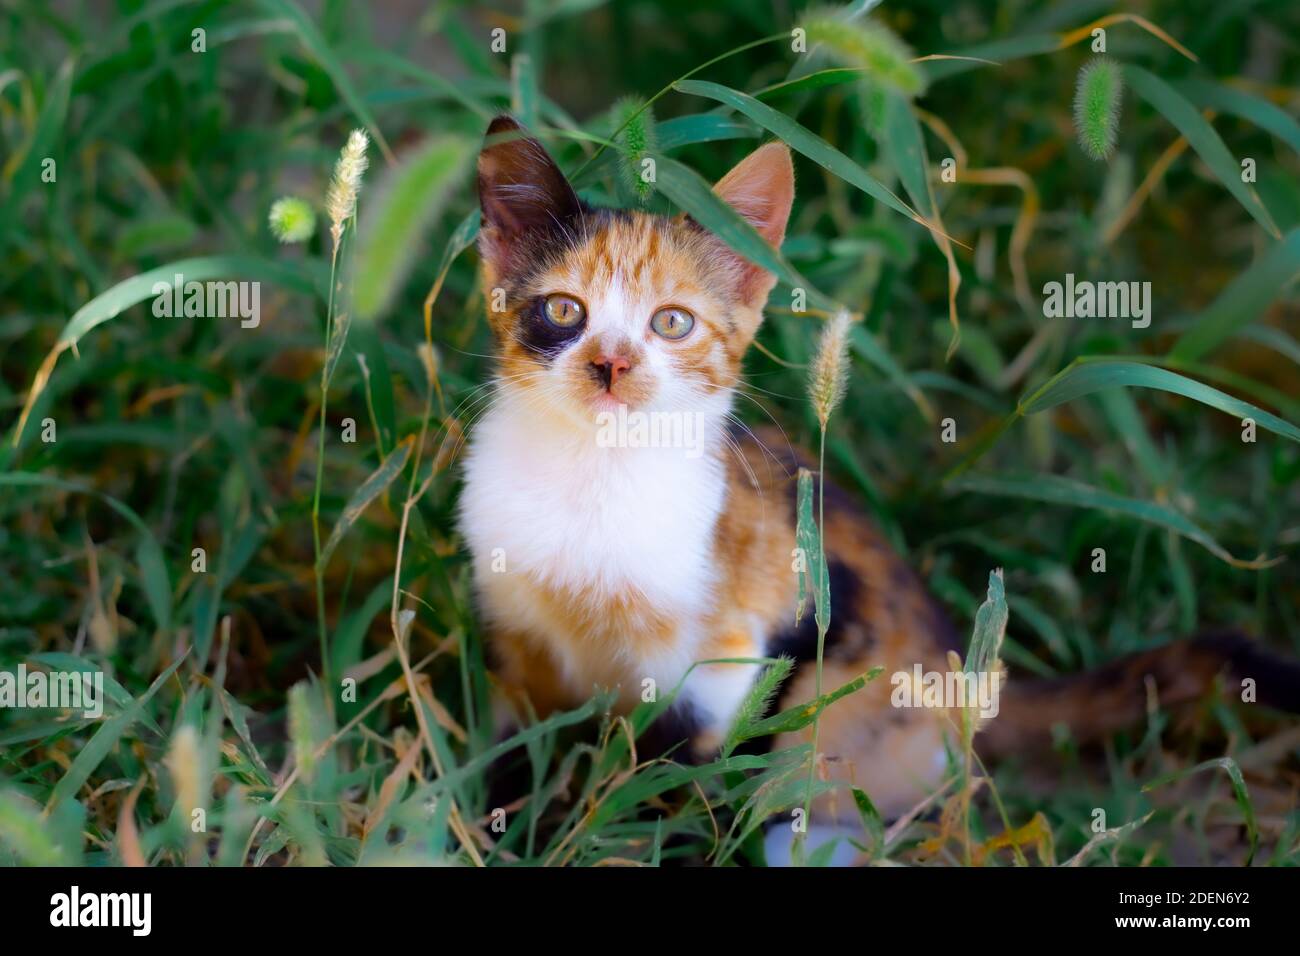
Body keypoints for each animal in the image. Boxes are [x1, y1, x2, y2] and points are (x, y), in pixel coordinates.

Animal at [457, 117, 1300, 822]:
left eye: (672, 322)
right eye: (563, 311)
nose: (612, 365)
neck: (590, 477)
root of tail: (963, 683)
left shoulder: (724, 650)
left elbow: (673, 776)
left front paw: (632, 832)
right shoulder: (513, 635)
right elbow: (511, 753)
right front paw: (498, 825)